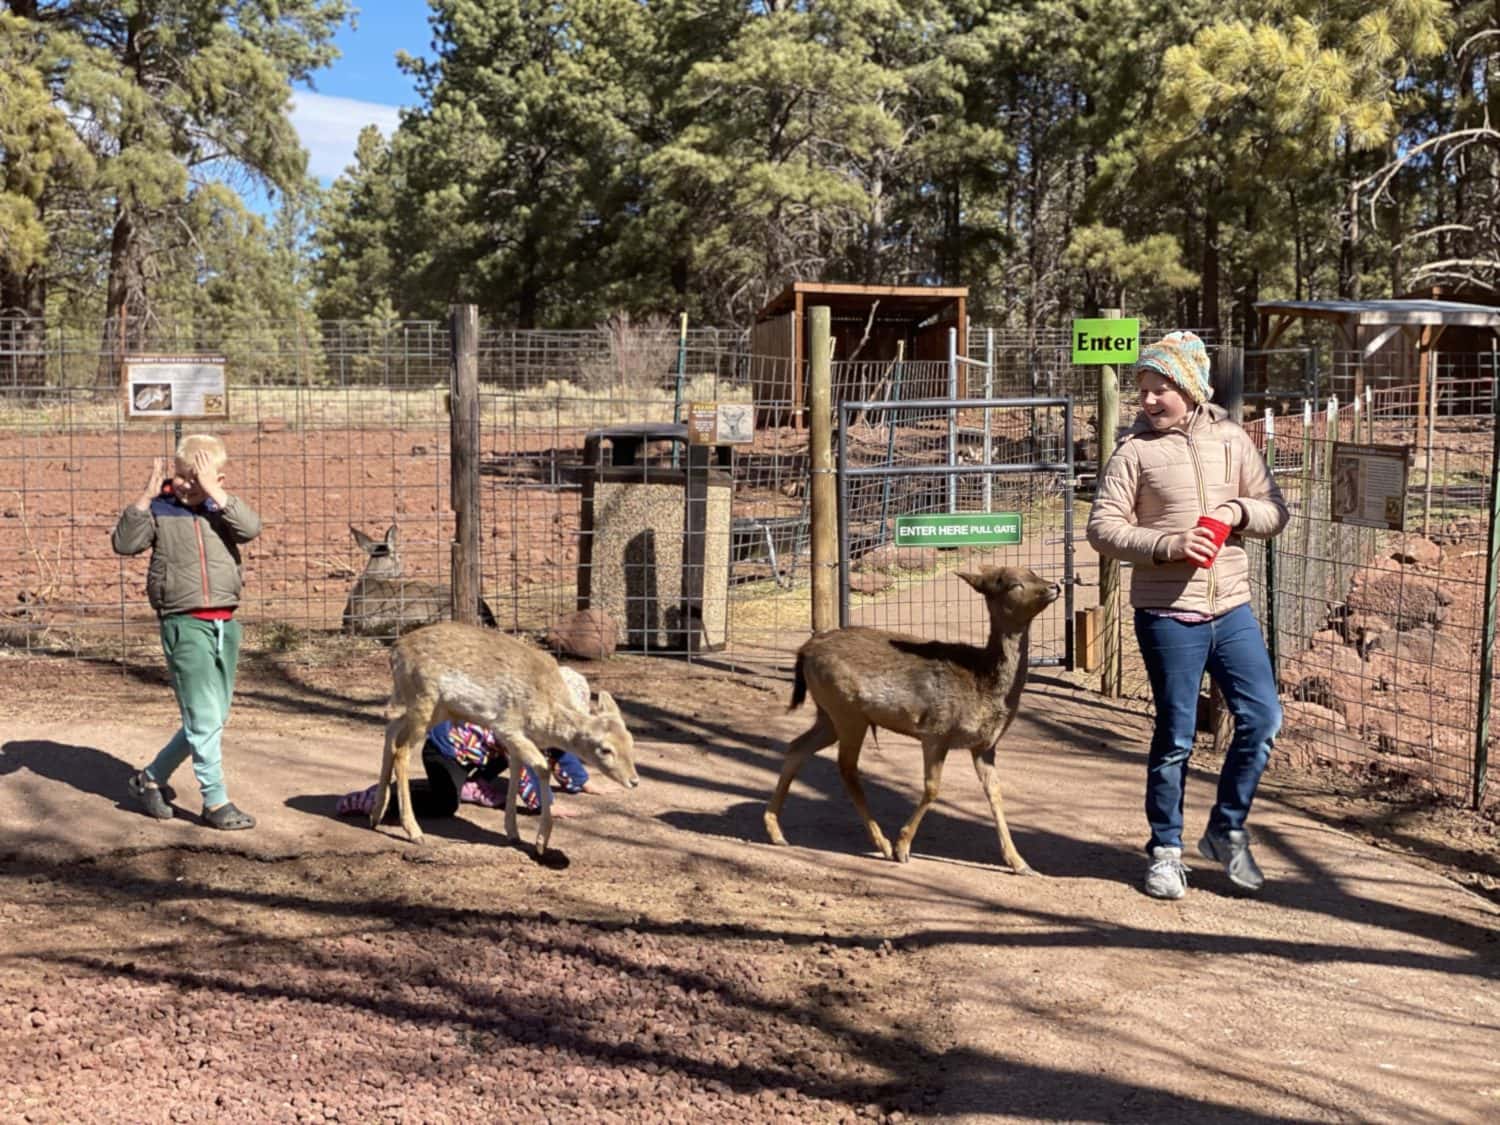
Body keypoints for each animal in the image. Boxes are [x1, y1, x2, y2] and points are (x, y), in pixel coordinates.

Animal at [371, 621, 640, 854]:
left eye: (631, 741)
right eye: (605, 749)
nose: (634, 781)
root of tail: (395, 650)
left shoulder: (514, 740)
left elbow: (517, 771)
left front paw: (514, 833)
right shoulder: (507, 726)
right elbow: (542, 768)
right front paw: (541, 842)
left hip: (427, 705)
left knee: (391, 731)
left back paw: (376, 814)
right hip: (424, 699)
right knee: (402, 751)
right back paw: (414, 832)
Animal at [764, 566, 1060, 874]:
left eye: (1033, 571)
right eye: (1013, 584)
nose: (1055, 586)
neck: (983, 681)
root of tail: (803, 652)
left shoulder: (985, 746)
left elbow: (995, 793)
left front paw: (1020, 863)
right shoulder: (935, 731)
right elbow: (932, 788)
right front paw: (902, 847)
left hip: (828, 715)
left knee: (797, 747)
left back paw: (776, 832)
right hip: (847, 711)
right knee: (846, 767)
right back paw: (882, 844)